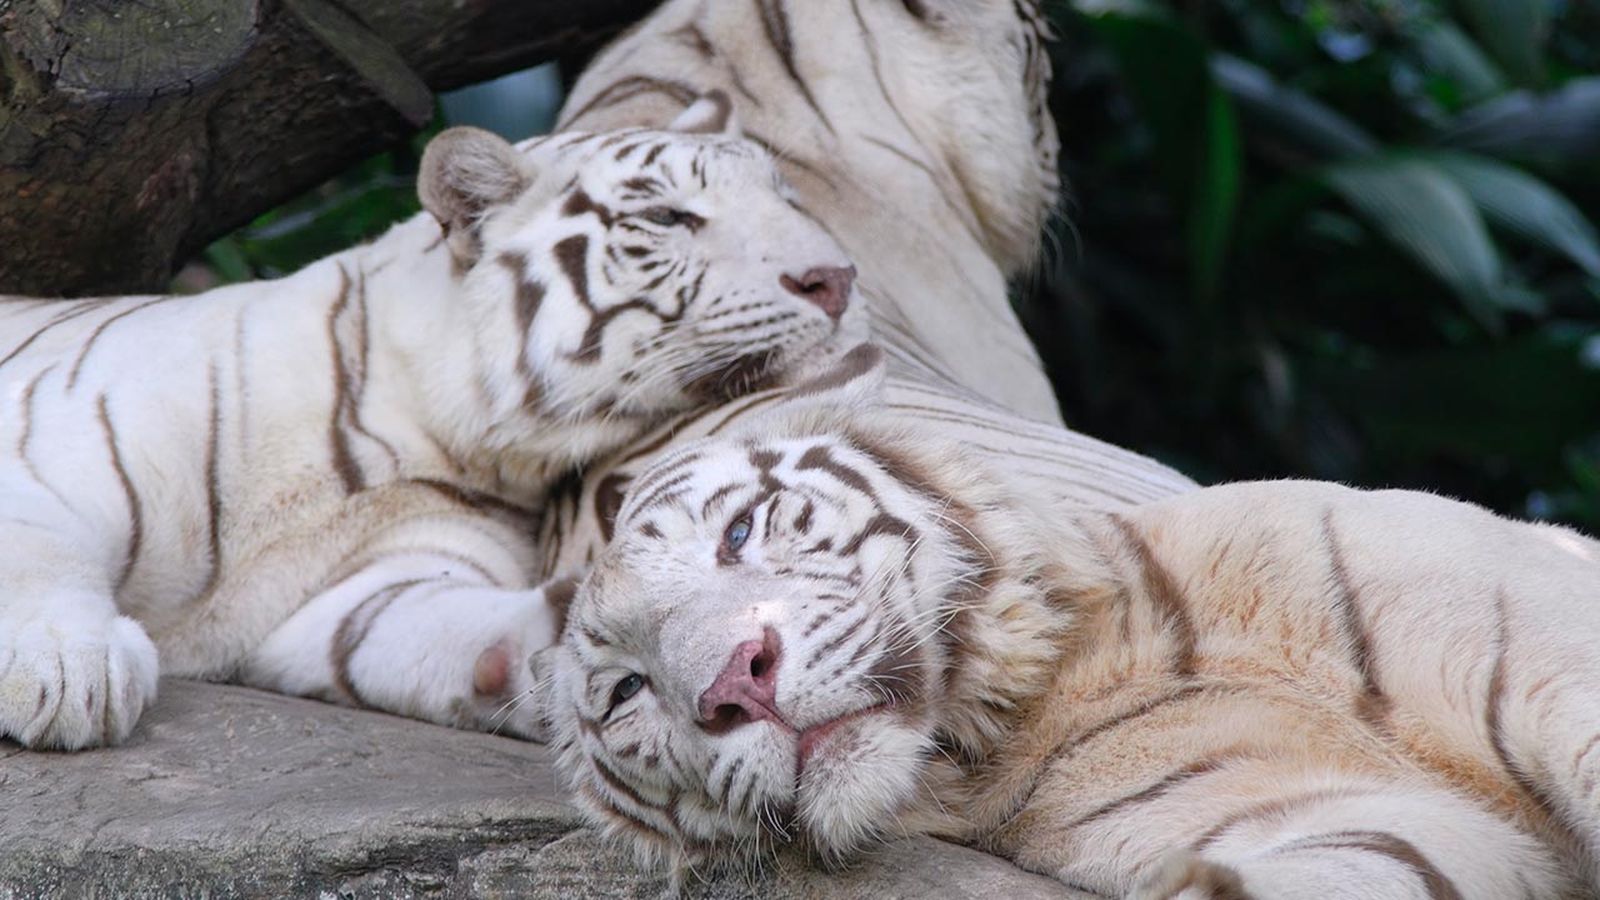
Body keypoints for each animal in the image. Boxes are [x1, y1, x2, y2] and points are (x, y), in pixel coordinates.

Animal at [0, 93, 865, 751]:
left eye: (788, 199)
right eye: (667, 216)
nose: (838, 277)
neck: (429, 426)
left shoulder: (370, 583)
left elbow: (421, 625)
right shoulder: (53, 452)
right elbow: (37, 552)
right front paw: (66, 675)